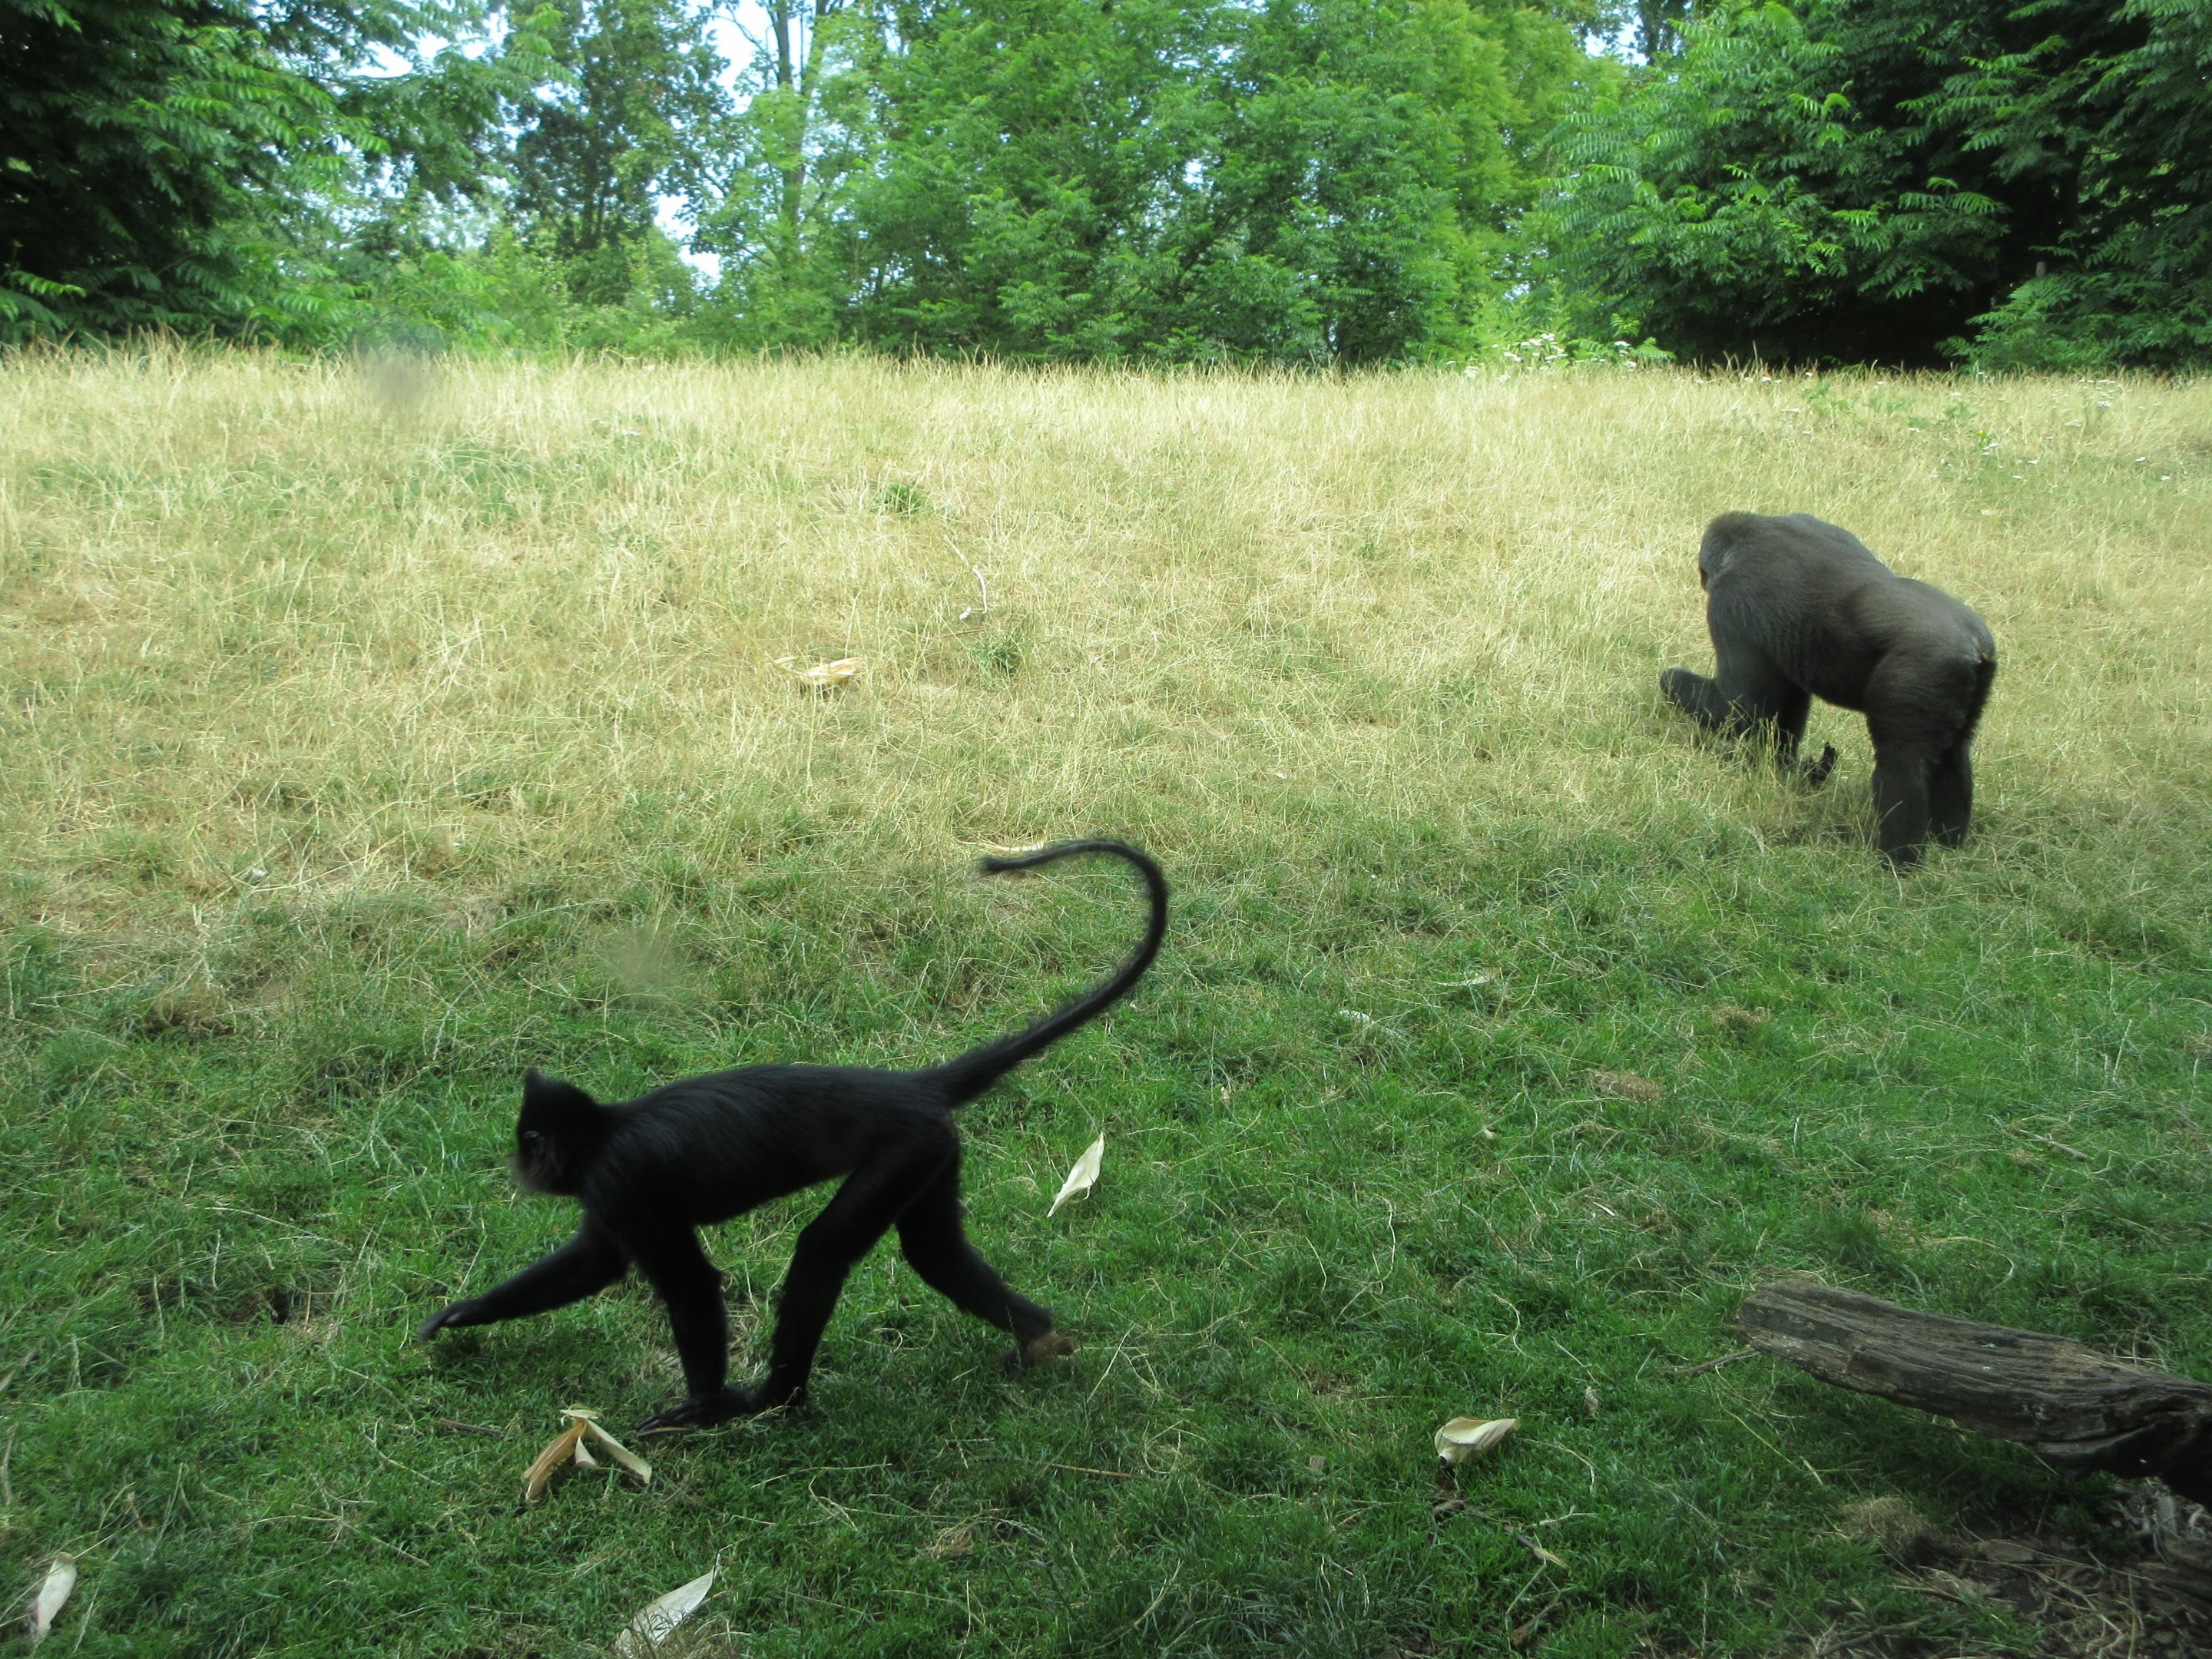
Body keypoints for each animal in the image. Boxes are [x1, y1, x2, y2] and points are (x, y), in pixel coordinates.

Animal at [416, 839, 1167, 1430]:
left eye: (527, 1141)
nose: (519, 1166)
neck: (606, 1130)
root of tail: (908, 1087)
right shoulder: (609, 1196)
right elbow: (596, 1264)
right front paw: (462, 1316)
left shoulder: (620, 1182)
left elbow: (688, 1282)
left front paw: (704, 1409)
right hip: (932, 1149)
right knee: (935, 1254)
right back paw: (1035, 1334)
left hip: (903, 1150)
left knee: (823, 1249)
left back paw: (778, 1396)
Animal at [1660, 511, 1996, 866]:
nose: (1703, 581)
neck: (1756, 534)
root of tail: (1974, 645)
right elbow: (1783, 705)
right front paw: (1791, 768)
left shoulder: (1729, 599)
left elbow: (1741, 708)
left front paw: (1670, 680)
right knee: (1955, 754)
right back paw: (1947, 845)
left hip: (1924, 667)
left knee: (1902, 765)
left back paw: (1896, 860)